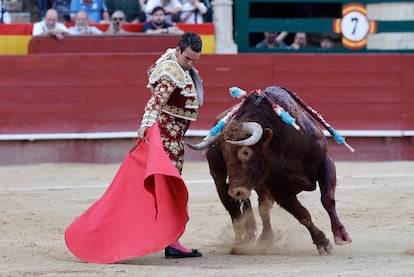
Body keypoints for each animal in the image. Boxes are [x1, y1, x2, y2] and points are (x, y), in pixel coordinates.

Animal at [189, 85, 354, 253]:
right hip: (221, 183)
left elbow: (327, 199)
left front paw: (341, 235)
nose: (237, 191)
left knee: (261, 207)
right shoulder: (276, 187)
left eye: (246, 152)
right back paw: (240, 244)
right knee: (237, 213)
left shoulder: (325, 163)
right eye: (224, 153)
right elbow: (302, 213)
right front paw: (322, 242)